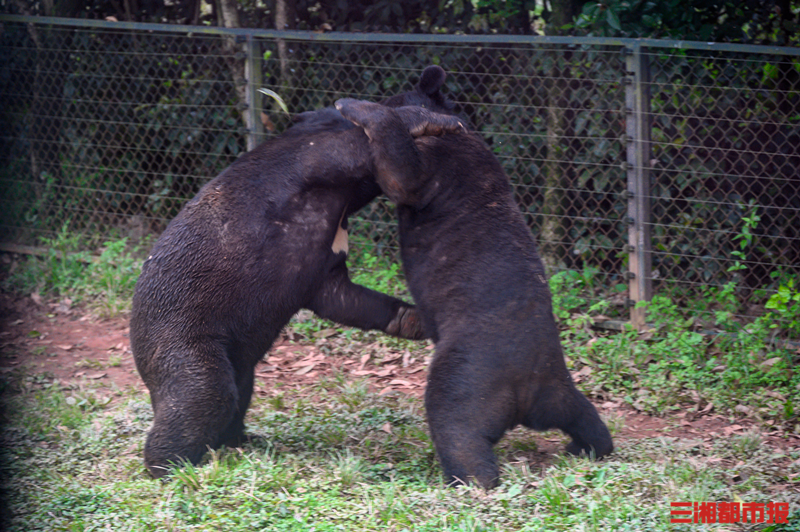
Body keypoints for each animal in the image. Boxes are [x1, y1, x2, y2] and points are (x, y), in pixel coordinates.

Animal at [130, 66, 462, 478]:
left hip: (233, 356)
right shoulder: (316, 164)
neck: (346, 199)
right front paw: (435, 122)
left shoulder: (323, 262)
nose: (465, 119)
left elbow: (346, 299)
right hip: (181, 337)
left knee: (238, 392)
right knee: (203, 392)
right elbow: (351, 145)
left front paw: (413, 320)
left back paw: (239, 441)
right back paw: (171, 463)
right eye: (456, 104)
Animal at [334, 97, 616, 488]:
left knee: (458, 433)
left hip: (459, 381)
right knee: (586, 418)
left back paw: (466, 480)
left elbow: (397, 161)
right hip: (563, 393)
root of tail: (530, 391)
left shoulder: (425, 173)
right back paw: (586, 448)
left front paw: (353, 106)